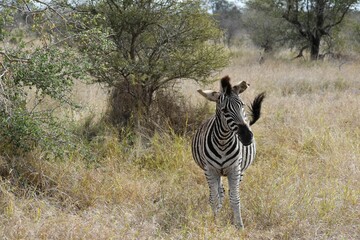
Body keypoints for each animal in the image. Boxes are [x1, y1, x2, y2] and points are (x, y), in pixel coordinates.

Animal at [191, 75, 264, 229]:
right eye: (224, 110)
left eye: (242, 105)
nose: (247, 137)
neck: (223, 142)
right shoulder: (210, 170)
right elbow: (214, 198)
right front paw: (215, 221)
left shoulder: (235, 169)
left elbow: (235, 198)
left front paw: (239, 225)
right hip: (216, 172)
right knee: (219, 193)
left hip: (240, 171)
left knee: (229, 192)